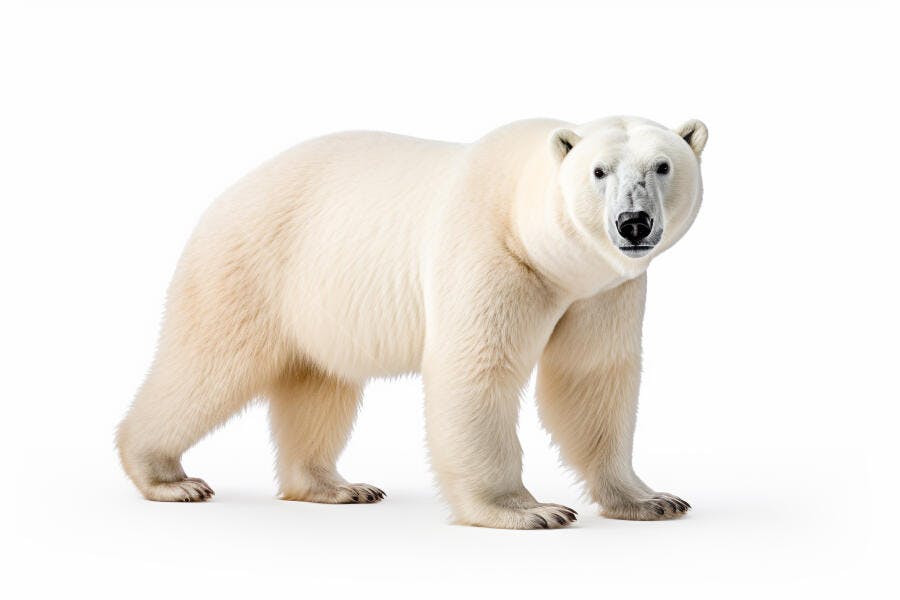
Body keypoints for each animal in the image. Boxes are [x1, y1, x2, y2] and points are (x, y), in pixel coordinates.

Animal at [117, 115, 707, 529]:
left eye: (662, 166)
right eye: (598, 171)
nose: (633, 223)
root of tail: (225, 192)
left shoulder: (602, 291)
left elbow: (592, 378)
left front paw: (650, 499)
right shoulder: (490, 253)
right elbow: (478, 370)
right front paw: (529, 510)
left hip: (321, 301)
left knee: (319, 384)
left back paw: (337, 486)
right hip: (252, 265)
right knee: (208, 364)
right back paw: (167, 477)